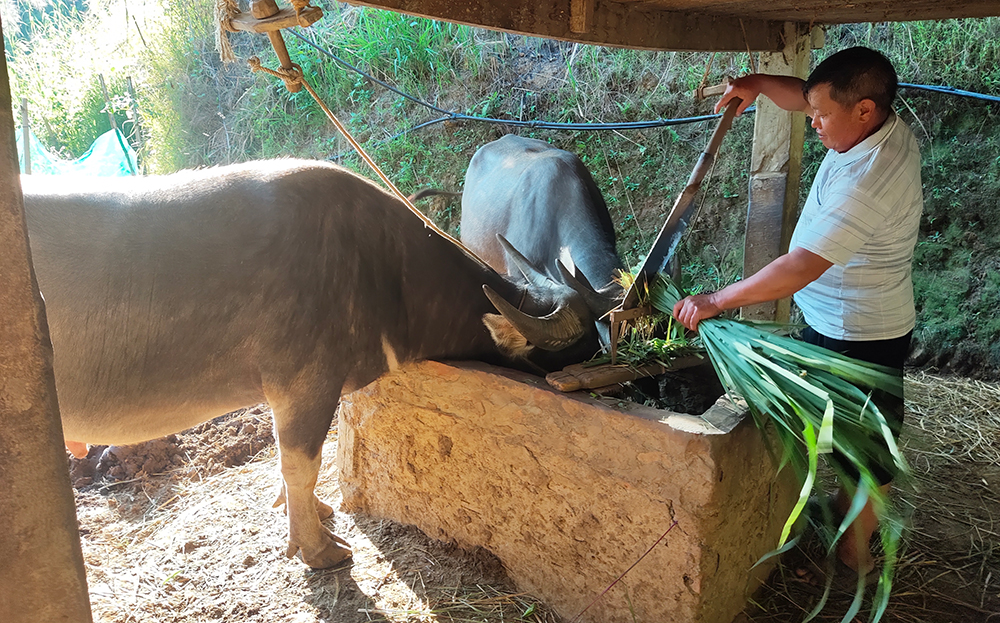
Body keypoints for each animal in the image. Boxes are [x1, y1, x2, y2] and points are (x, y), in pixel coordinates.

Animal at [21, 161, 600, 572]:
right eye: (573, 355)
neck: (380, 267)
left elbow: (291, 464)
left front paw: (308, 513)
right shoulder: (306, 384)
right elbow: (302, 464)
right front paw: (317, 549)